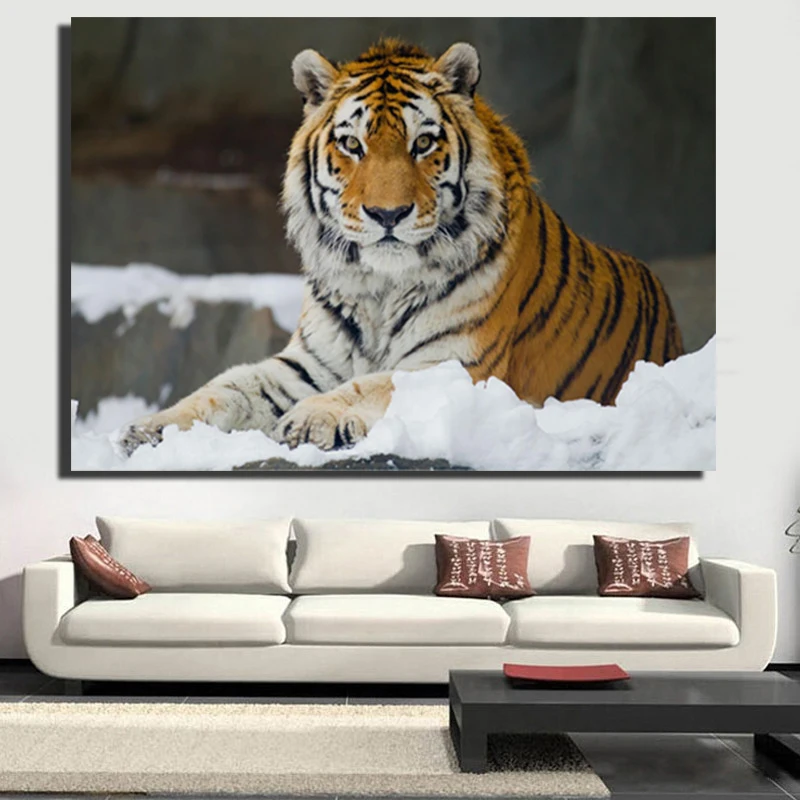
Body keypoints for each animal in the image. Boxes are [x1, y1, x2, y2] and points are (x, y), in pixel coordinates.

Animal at [120, 38, 684, 456]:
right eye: (352, 144)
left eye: (423, 143)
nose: (388, 215)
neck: (380, 287)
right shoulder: (308, 363)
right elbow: (227, 386)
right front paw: (150, 428)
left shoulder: (457, 365)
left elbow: (375, 383)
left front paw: (311, 419)